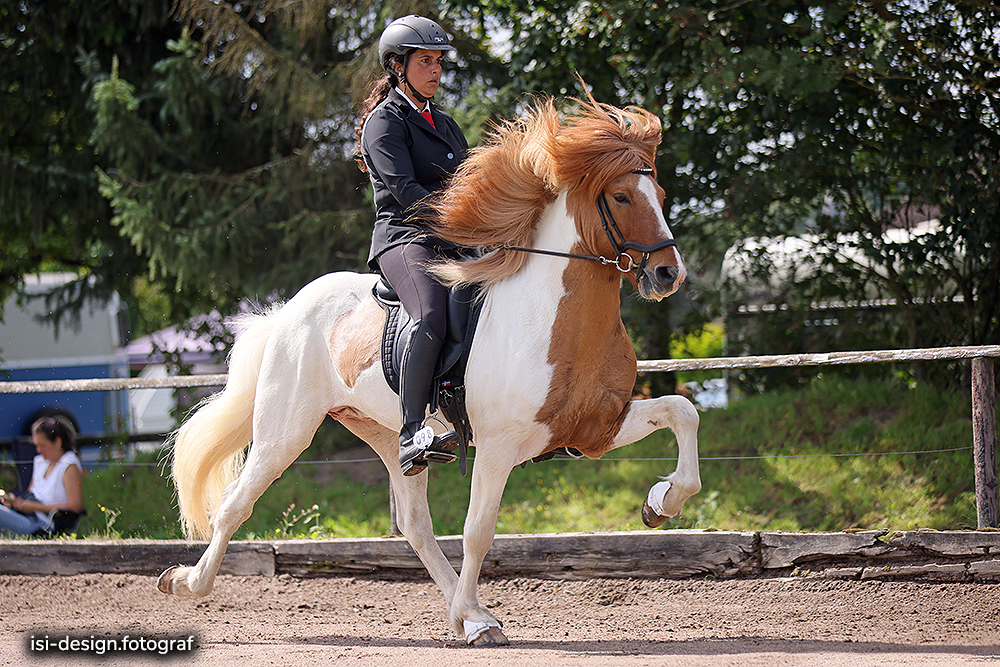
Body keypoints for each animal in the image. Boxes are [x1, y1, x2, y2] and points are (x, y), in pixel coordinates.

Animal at [158, 95, 704, 648]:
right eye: (620, 197)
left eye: (659, 193)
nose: (669, 274)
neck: (555, 319)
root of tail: (287, 311)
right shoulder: (499, 447)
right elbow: (478, 530)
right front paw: (478, 620)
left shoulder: (594, 428)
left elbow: (684, 411)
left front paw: (661, 502)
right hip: (284, 432)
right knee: (236, 501)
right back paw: (186, 583)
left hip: (386, 435)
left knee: (416, 526)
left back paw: (465, 614)